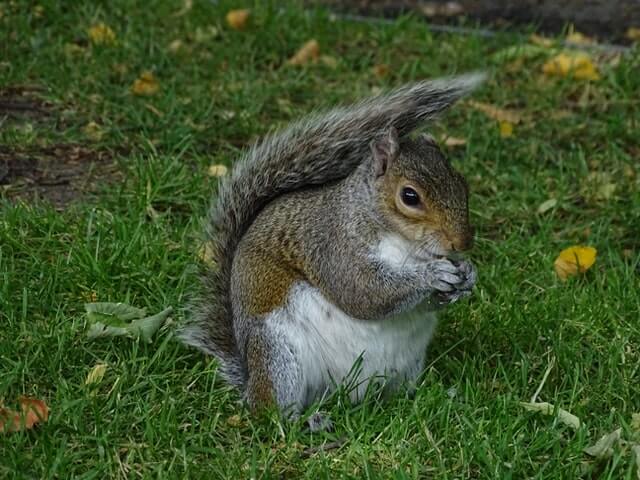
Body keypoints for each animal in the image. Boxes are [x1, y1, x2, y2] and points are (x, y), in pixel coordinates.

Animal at [178, 73, 482, 430]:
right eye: (410, 196)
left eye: (462, 184)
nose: (462, 243)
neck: (406, 245)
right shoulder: (331, 245)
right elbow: (362, 291)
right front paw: (431, 275)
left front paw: (467, 276)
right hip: (278, 354)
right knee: (269, 413)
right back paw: (305, 421)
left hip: (407, 366)